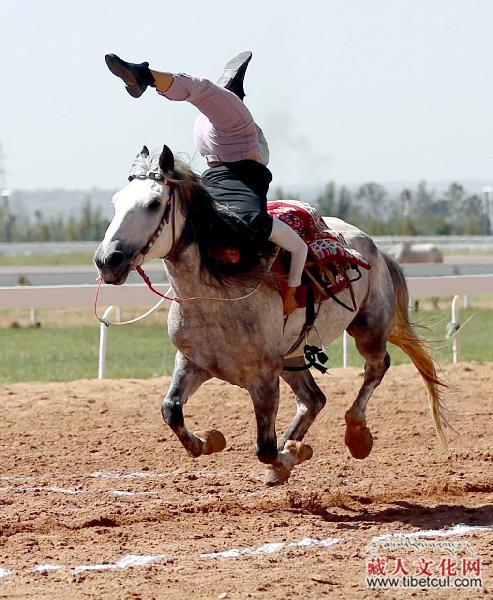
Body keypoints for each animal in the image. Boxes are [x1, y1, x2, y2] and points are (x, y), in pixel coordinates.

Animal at [93, 145, 450, 488]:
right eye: (115, 201)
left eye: (154, 203)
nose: (107, 260)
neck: (217, 296)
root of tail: (374, 246)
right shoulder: (192, 362)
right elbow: (171, 411)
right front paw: (211, 440)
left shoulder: (263, 378)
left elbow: (264, 447)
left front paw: (292, 455)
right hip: (292, 356)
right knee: (314, 399)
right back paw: (291, 452)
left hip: (368, 329)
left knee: (376, 367)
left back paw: (356, 435)